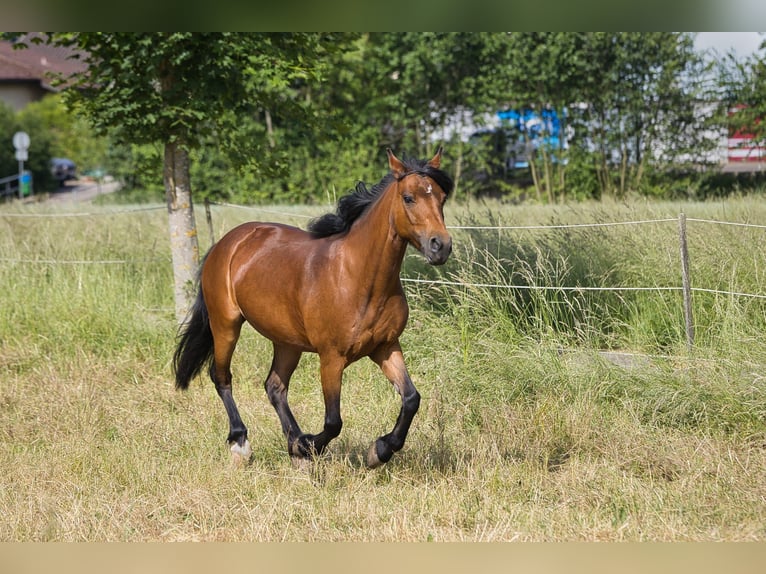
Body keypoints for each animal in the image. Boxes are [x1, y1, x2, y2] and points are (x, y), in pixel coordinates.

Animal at [172, 147, 453, 468]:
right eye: (408, 198)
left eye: (442, 197)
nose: (441, 246)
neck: (358, 277)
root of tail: (227, 243)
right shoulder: (331, 357)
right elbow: (333, 421)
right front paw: (309, 447)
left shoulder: (386, 346)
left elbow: (411, 399)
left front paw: (378, 451)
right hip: (226, 325)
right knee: (222, 377)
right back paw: (242, 444)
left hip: (287, 342)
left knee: (275, 386)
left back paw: (293, 443)